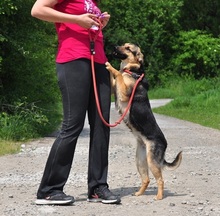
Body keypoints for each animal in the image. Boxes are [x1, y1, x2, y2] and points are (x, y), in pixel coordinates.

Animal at [105, 43, 181, 200]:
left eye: (128, 48)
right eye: (123, 45)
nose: (114, 46)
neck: (131, 70)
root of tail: (164, 144)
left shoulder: (123, 92)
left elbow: (118, 74)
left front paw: (110, 66)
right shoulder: (114, 88)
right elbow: (116, 76)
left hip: (151, 161)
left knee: (160, 179)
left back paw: (159, 196)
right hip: (140, 159)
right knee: (146, 179)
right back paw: (139, 193)